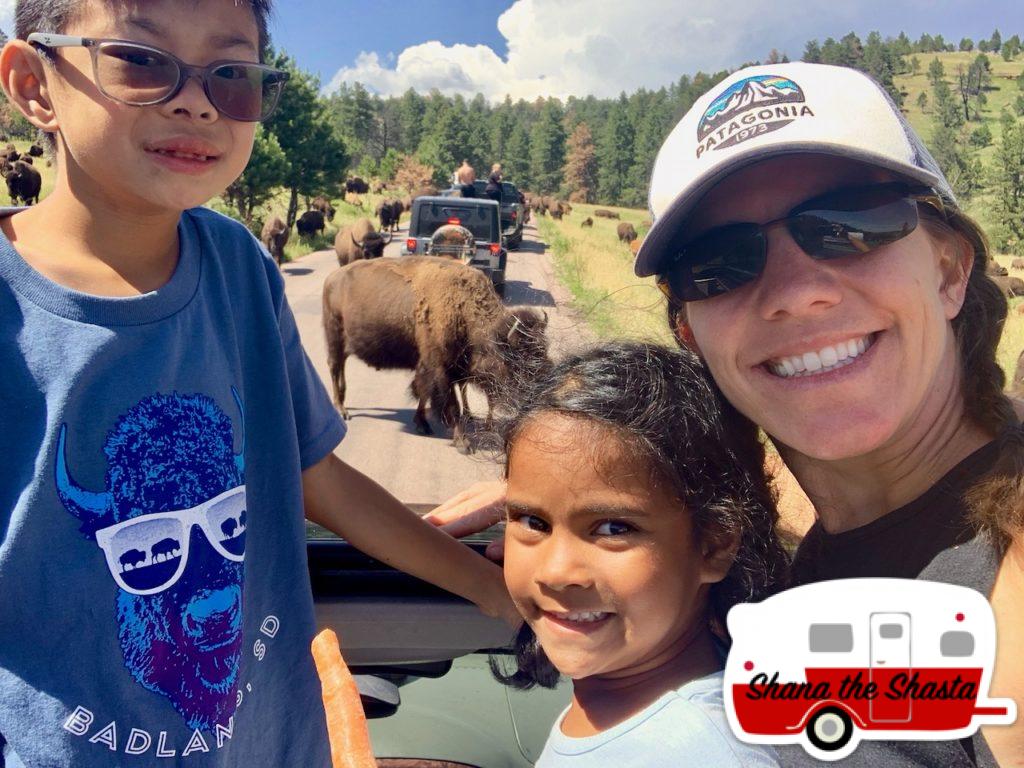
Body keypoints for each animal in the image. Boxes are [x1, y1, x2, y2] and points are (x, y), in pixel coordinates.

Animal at [321, 256, 552, 454]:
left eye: (544, 350)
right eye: (518, 359)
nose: (541, 390)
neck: (463, 308)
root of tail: (331, 278)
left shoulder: (443, 369)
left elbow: (425, 393)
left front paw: (421, 423)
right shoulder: (440, 369)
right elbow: (452, 405)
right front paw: (463, 443)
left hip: (345, 345)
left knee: (340, 368)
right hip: (334, 336)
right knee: (334, 367)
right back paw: (342, 410)